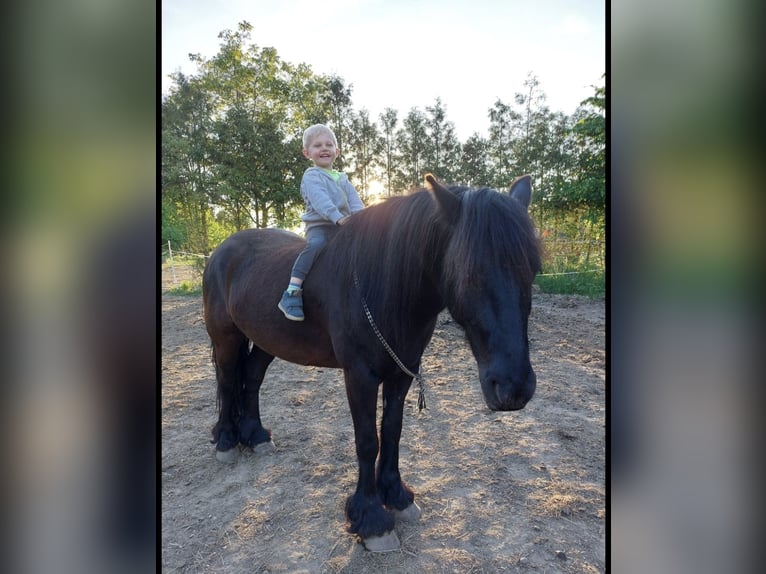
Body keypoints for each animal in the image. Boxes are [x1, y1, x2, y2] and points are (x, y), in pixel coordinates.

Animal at [202, 174, 542, 551]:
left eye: (533, 270)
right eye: (470, 273)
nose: (513, 387)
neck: (382, 285)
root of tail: (222, 251)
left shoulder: (402, 372)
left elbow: (392, 431)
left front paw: (396, 496)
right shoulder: (359, 376)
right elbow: (367, 440)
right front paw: (371, 518)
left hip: (266, 339)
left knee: (252, 379)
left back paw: (256, 435)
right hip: (226, 337)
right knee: (228, 381)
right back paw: (226, 439)